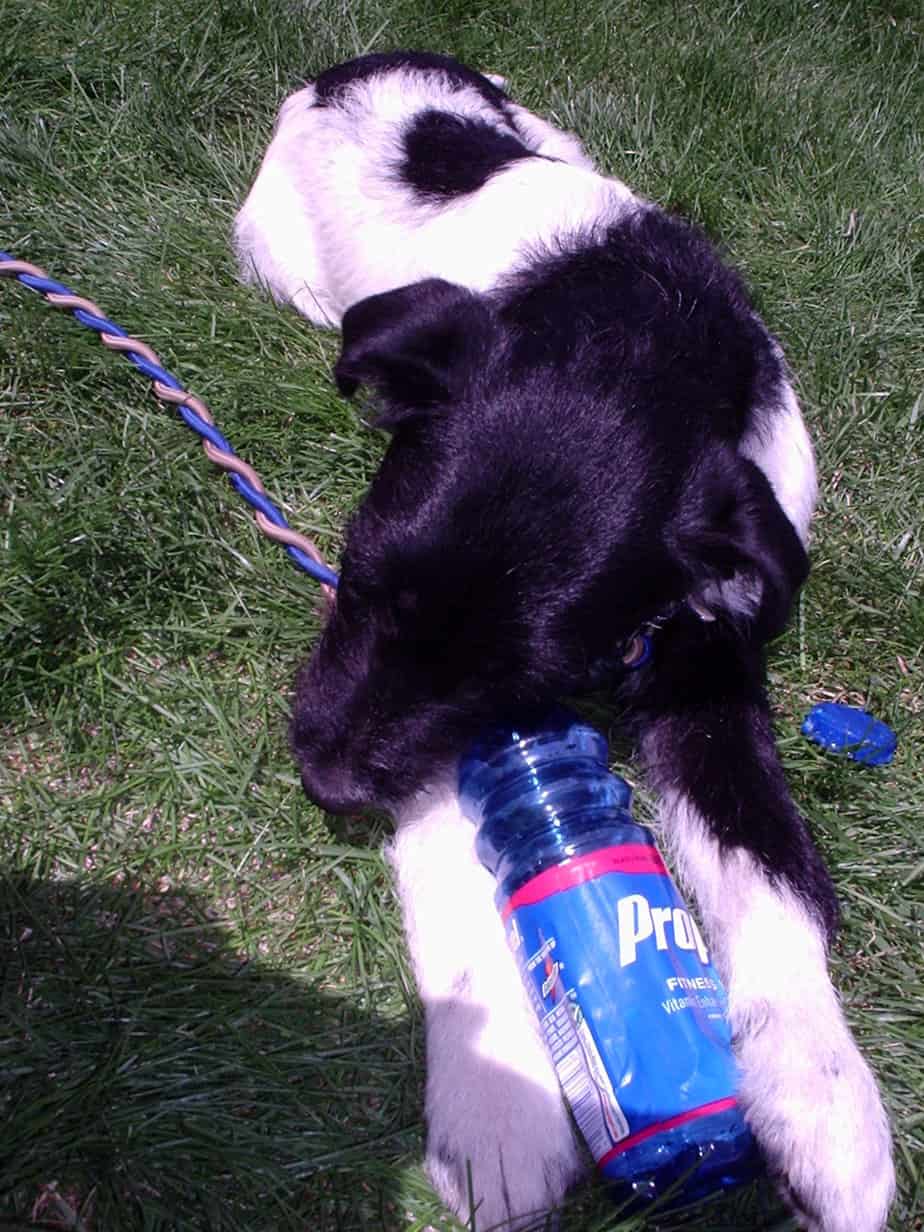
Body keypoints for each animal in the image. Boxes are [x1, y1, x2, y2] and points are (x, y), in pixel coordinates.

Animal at [232, 50, 896, 1232]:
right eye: (356, 573)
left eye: (525, 670)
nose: (322, 781)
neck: (641, 329)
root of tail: (353, 66)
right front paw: (502, 1102)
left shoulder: (708, 659)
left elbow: (763, 853)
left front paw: (825, 1095)